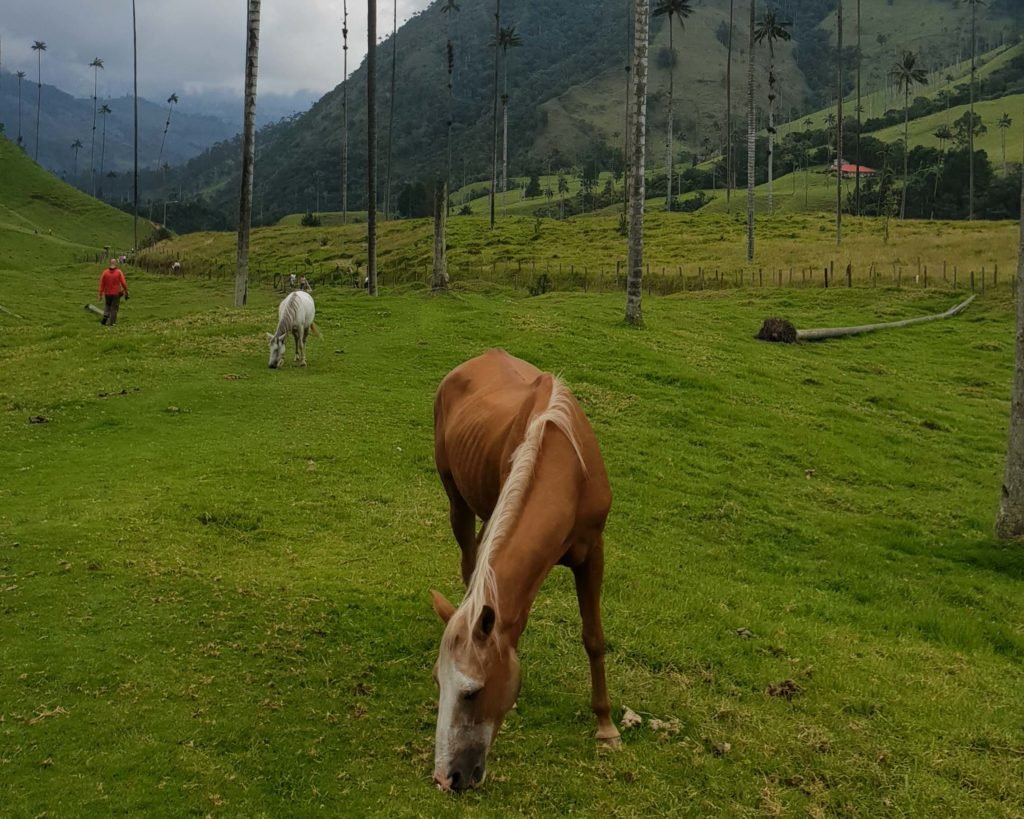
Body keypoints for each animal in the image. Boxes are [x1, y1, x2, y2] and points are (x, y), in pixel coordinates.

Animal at [430, 348, 618, 790]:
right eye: (438, 682)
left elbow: (594, 638)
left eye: (472, 691)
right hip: (457, 498)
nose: (447, 777)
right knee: (469, 559)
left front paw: (605, 724)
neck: (565, 470)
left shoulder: (593, 551)